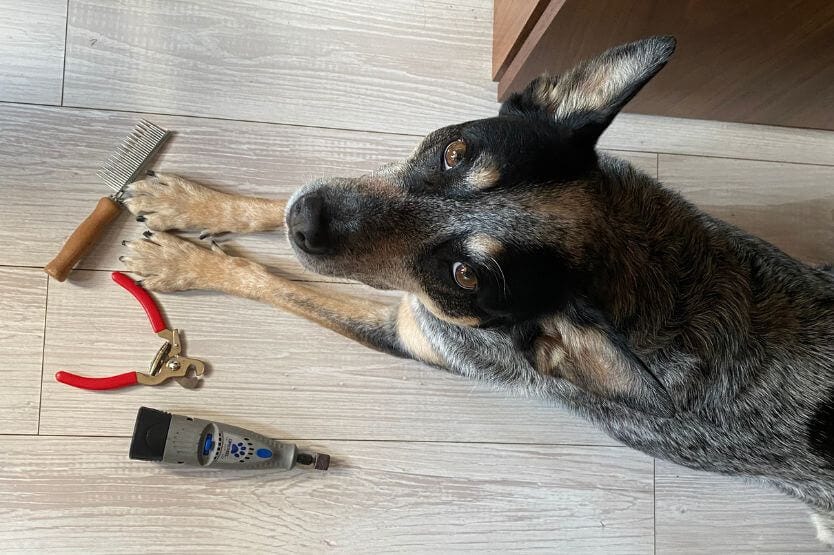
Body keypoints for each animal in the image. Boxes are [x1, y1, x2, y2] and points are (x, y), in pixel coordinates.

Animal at [118, 37, 832, 544]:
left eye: (466, 277)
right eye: (455, 152)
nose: (309, 222)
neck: (627, 256)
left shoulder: (413, 331)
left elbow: (272, 280)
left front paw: (180, 261)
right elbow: (270, 204)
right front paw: (187, 203)